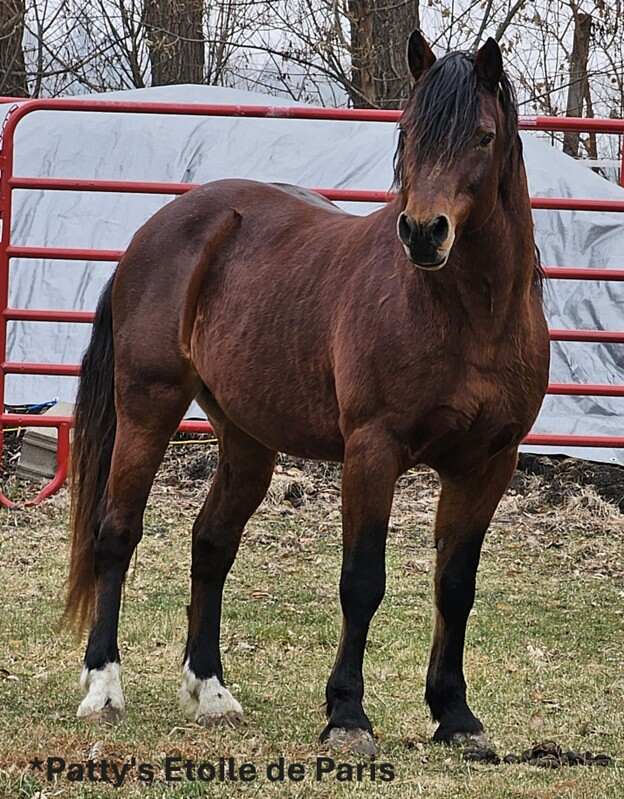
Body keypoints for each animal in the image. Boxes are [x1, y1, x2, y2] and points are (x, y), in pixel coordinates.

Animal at [64, 31, 549, 757]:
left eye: (484, 137)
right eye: (408, 131)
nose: (423, 232)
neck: (469, 317)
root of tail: (155, 231)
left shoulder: (488, 463)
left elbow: (455, 586)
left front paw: (455, 714)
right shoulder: (373, 452)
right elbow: (362, 582)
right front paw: (347, 714)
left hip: (245, 438)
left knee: (211, 543)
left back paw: (212, 692)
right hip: (147, 408)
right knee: (116, 533)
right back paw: (103, 688)